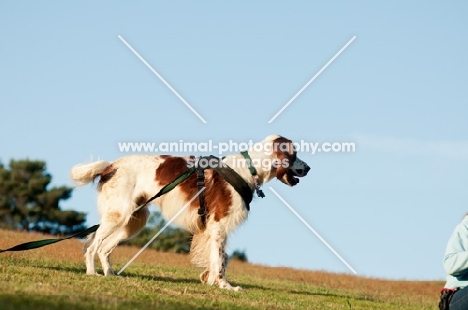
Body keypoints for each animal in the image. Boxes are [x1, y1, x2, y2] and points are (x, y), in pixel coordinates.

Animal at [70, 134, 310, 290]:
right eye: (295, 154)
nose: (308, 168)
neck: (247, 169)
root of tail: (110, 166)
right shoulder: (219, 224)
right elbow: (220, 258)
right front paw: (224, 285)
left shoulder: (214, 228)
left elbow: (221, 257)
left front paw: (210, 280)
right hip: (118, 215)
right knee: (91, 246)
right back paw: (92, 273)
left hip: (132, 221)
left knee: (103, 249)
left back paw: (110, 275)